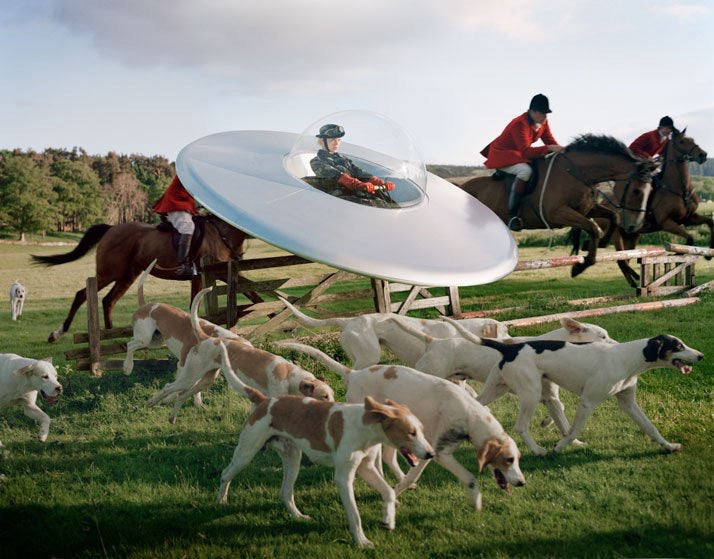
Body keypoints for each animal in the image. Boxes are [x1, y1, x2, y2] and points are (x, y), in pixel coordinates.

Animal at [32, 215, 253, 344]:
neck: (223, 233)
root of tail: (111, 228)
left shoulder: (219, 274)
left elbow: (253, 292)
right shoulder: (209, 274)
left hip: (128, 275)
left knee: (108, 300)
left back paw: (111, 335)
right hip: (109, 273)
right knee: (82, 295)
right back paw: (57, 333)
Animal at [458, 134, 652, 278]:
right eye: (636, 191)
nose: (635, 225)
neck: (575, 173)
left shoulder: (587, 210)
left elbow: (613, 217)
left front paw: (595, 244)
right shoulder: (557, 214)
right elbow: (592, 227)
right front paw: (580, 267)